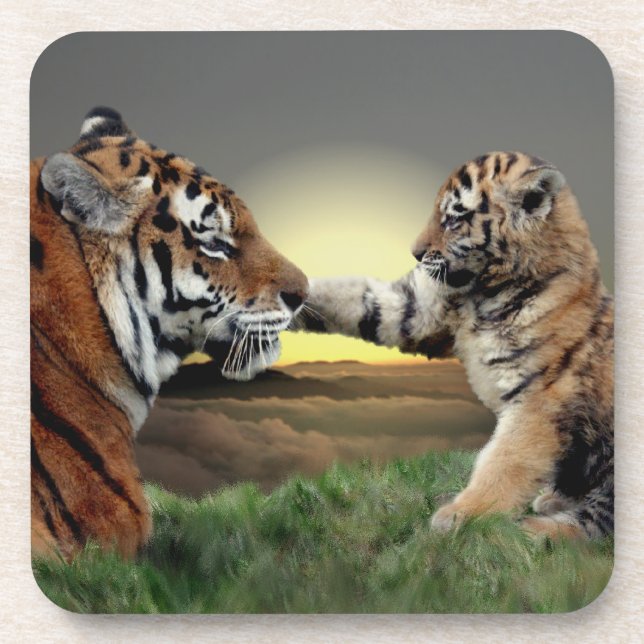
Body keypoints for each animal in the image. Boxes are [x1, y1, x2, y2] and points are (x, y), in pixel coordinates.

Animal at [299, 151, 613, 540]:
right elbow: (361, 297)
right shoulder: (420, 307)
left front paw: (465, 513)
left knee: (594, 523)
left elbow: (504, 461)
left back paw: (529, 530)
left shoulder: (538, 400)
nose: (415, 253)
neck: (486, 291)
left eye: (453, 219)